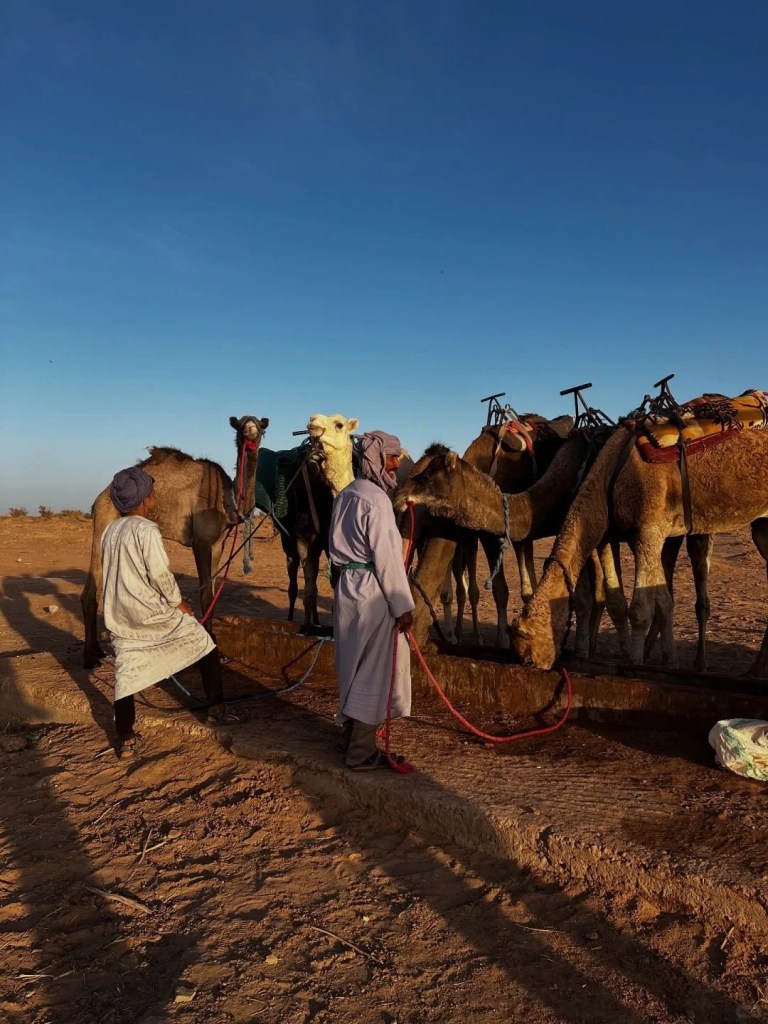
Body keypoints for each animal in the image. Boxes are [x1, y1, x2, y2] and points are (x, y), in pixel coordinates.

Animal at [81, 414, 268, 668]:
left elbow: (212, 593)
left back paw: (98, 652)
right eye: (240, 426)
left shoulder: (218, 543)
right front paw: (210, 648)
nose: (250, 432)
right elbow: (205, 595)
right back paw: (90, 657)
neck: (228, 502)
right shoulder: (201, 541)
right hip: (104, 521)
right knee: (91, 591)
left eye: (260, 425)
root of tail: (98, 499)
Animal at [509, 425, 768, 675]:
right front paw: (669, 660)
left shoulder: (648, 531)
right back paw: (753, 670)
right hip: (760, 527)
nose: (538, 666)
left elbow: (641, 609)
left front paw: (634, 662)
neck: (612, 474)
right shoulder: (633, 536)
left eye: (528, 657)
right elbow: (661, 603)